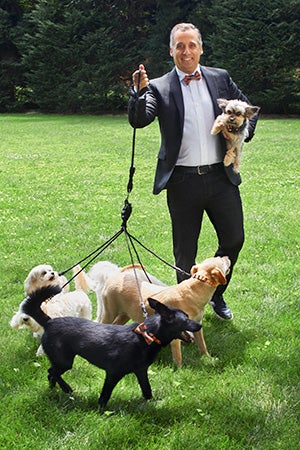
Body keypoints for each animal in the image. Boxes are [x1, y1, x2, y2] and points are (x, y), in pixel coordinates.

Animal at [21, 286, 202, 410]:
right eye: (185, 319)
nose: (199, 325)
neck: (146, 335)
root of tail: (49, 322)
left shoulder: (141, 371)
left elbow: (147, 390)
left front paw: (152, 402)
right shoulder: (113, 373)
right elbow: (105, 395)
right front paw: (101, 410)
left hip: (61, 361)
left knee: (51, 374)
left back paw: (55, 390)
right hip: (64, 361)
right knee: (51, 371)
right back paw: (66, 388)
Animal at [102, 256, 231, 366]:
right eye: (221, 259)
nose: (227, 257)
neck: (192, 292)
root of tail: (118, 274)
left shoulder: (197, 325)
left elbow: (202, 345)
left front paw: (208, 358)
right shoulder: (176, 333)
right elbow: (178, 356)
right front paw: (179, 369)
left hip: (124, 314)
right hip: (109, 311)